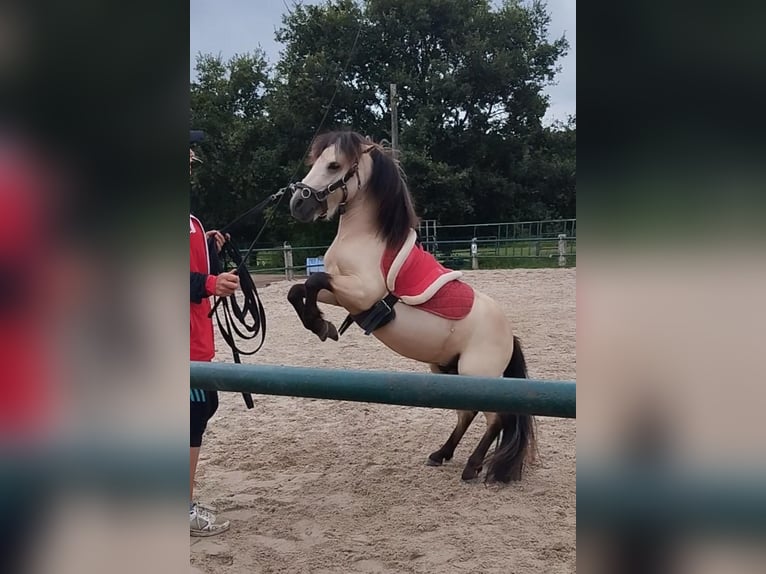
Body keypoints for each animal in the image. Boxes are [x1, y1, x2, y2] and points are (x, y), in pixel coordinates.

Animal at [285, 130, 536, 483]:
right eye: (316, 160)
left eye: (334, 165)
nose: (298, 204)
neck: (366, 238)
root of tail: (509, 336)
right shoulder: (342, 292)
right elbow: (299, 289)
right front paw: (320, 324)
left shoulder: (361, 293)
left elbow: (313, 281)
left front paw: (320, 324)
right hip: (449, 370)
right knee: (467, 413)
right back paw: (441, 454)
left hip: (477, 374)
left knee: (497, 418)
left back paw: (472, 466)